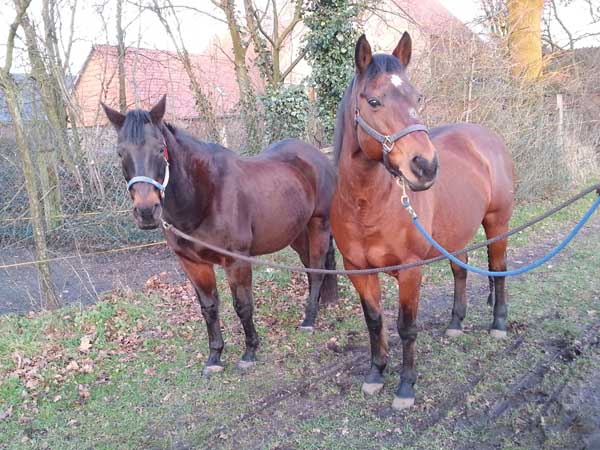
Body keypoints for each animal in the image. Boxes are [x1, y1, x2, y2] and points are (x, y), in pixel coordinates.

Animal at [101, 95, 338, 374]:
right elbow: (209, 308)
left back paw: (309, 319)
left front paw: (250, 352)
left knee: (317, 268)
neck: (205, 195)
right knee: (312, 267)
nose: (147, 211)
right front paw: (214, 357)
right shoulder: (193, 263)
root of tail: (316, 155)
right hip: (297, 233)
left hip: (318, 224)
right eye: (120, 153)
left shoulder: (236, 260)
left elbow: (242, 306)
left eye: (160, 149)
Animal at [330, 33, 515, 410]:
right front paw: (376, 374)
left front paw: (405, 386)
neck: (366, 205)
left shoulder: (410, 270)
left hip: (497, 224)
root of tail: (487, 138)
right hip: (455, 233)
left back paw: (499, 324)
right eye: (374, 101)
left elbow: (406, 327)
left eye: (417, 98)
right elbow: (374, 321)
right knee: (461, 269)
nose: (426, 166)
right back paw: (456, 323)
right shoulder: (357, 269)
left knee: (498, 269)